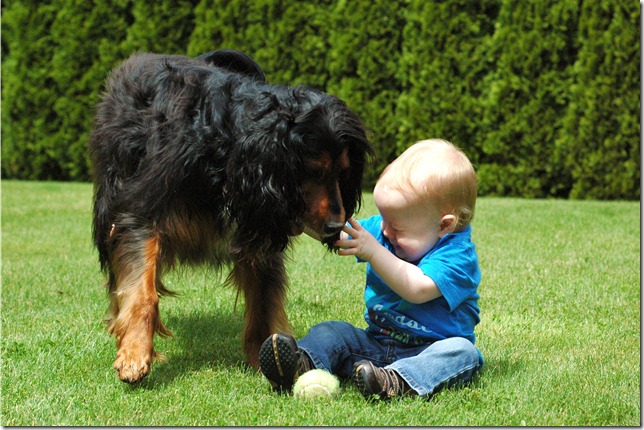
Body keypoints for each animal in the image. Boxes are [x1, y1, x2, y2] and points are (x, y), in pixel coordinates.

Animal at [90, 50, 372, 383]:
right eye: (314, 171)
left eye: (343, 173)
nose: (335, 227)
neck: (224, 149)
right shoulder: (142, 209)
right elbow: (142, 290)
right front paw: (134, 351)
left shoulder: (260, 224)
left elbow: (262, 300)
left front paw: (266, 358)